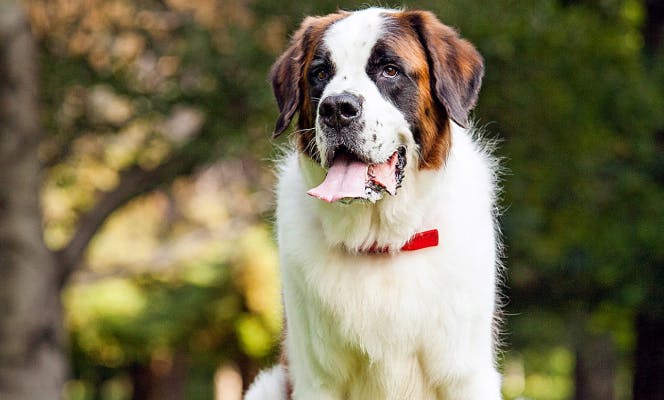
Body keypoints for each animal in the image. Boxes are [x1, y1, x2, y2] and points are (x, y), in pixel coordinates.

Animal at [248, 6, 504, 400]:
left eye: (389, 70)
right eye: (320, 74)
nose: (337, 108)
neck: (380, 241)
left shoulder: (465, 376)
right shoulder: (316, 380)